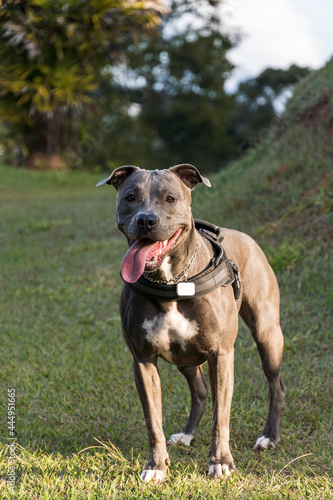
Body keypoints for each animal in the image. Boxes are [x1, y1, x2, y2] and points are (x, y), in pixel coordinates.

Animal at [96, 165, 286, 484]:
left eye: (170, 198)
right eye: (130, 197)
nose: (146, 220)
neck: (171, 281)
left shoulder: (221, 355)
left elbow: (221, 417)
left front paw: (221, 463)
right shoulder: (143, 360)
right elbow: (153, 421)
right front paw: (156, 466)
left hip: (267, 334)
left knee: (276, 385)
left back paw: (268, 436)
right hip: (183, 356)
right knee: (199, 390)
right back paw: (187, 434)